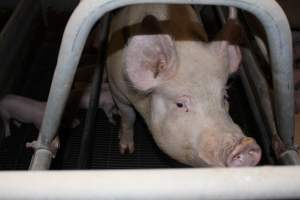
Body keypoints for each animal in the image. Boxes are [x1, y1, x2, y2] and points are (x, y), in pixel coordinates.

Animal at [106, 5, 262, 167]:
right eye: (180, 104)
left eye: (225, 97)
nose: (245, 145)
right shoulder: (117, 89)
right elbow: (128, 116)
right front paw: (125, 151)